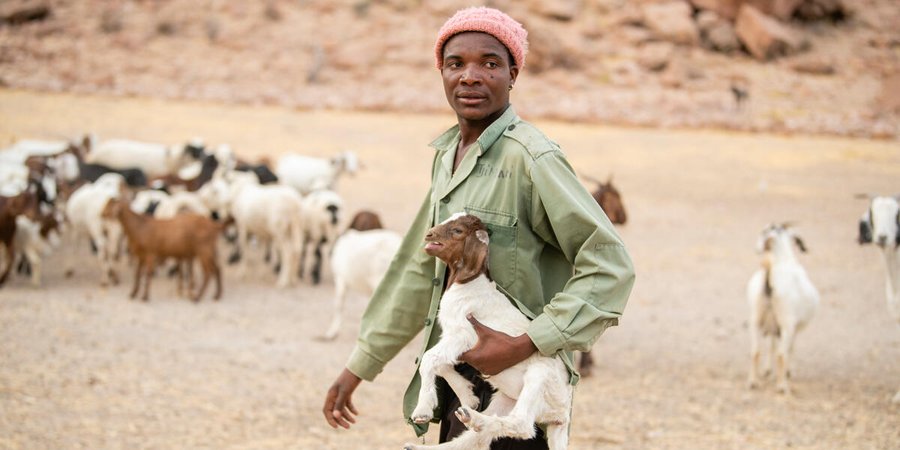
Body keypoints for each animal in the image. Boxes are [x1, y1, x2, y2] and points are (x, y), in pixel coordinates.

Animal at [404, 213, 572, 450]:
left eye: (457, 230)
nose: (429, 234)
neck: (468, 283)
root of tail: (563, 414)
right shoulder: (454, 340)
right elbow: (441, 362)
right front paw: (468, 396)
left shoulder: (463, 335)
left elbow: (429, 358)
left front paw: (422, 411)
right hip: (506, 399)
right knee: (477, 438)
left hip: (539, 377)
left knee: (522, 424)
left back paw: (474, 418)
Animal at [747, 223, 819, 396]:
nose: (757, 249)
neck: (784, 259)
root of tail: (770, 278)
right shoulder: (792, 327)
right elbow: (789, 349)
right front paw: (787, 372)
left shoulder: (773, 326)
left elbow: (771, 345)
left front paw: (767, 371)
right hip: (786, 323)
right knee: (781, 355)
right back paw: (782, 386)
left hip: (755, 320)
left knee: (755, 351)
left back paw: (753, 382)